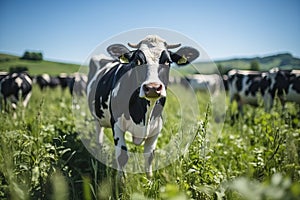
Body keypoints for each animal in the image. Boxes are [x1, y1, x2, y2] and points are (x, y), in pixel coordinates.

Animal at [86, 35, 199, 177]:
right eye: (138, 61)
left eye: (167, 62)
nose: (152, 88)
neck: (144, 115)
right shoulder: (116, 123)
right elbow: (122, 156)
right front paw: (121, 180)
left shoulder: (157, 126)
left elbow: (149, 156)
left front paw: (150, 180)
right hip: (97, 116)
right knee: (99, 132)